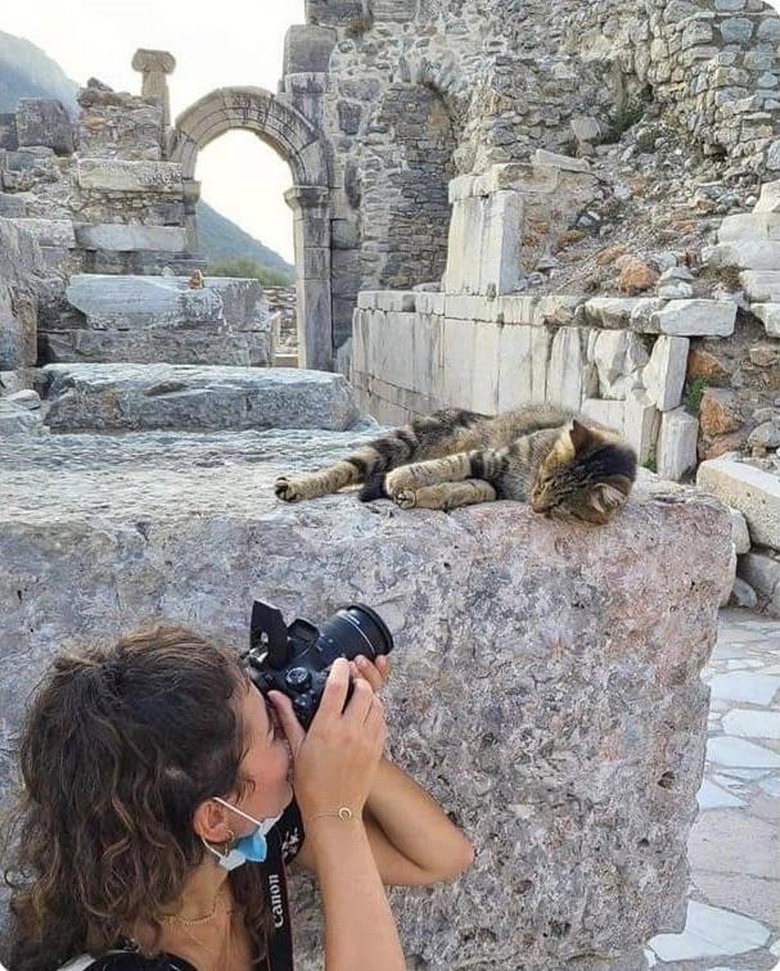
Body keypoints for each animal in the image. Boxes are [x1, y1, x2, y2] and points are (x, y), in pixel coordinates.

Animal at [272, 402, 632, 524]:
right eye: (543, 480)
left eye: (561, 505)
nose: (536, 505)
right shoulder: (491, 458)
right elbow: (445, 467)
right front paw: (403, 480)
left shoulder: (492, 483)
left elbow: (460, 488)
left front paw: (418, 495)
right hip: (400, 441)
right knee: (346, 468)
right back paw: (296, 486)